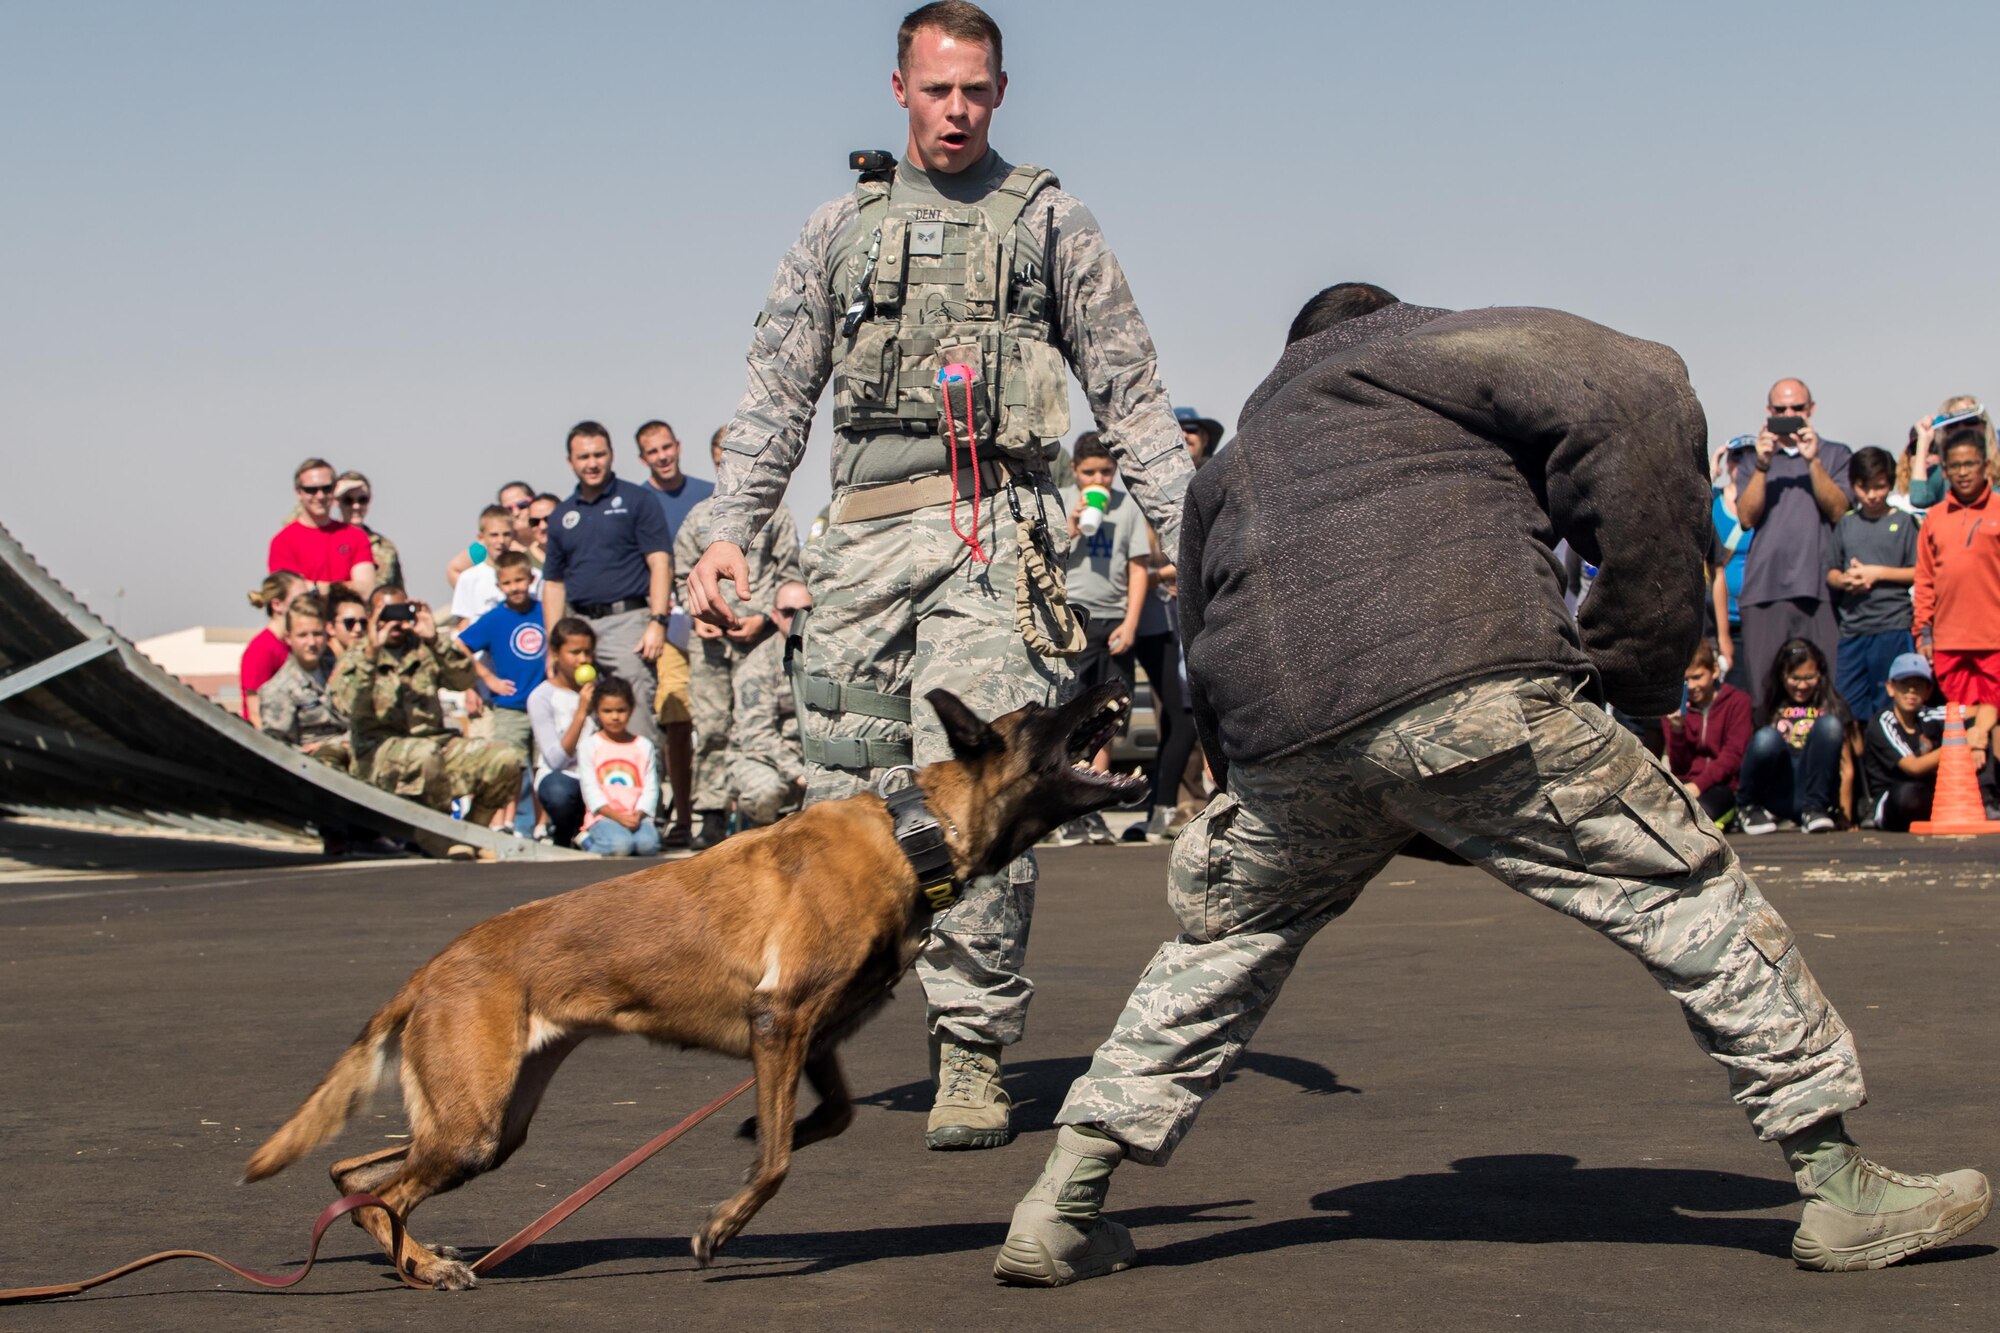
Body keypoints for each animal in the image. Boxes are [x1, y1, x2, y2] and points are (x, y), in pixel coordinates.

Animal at [240, 680, 1144, 1280]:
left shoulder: (808, 1036)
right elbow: (778, 1161)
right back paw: (423, 1266)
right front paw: (724, 1223)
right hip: (471, 1127)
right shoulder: (780, 1022)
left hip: (493, 1122)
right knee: (386, 1189)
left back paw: (413, 1251)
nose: (1114, 668)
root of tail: (435, 965)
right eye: (1045, 710)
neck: (913, 835)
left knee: (355, 1179)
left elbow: (832, 1116)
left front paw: (757, 1133)